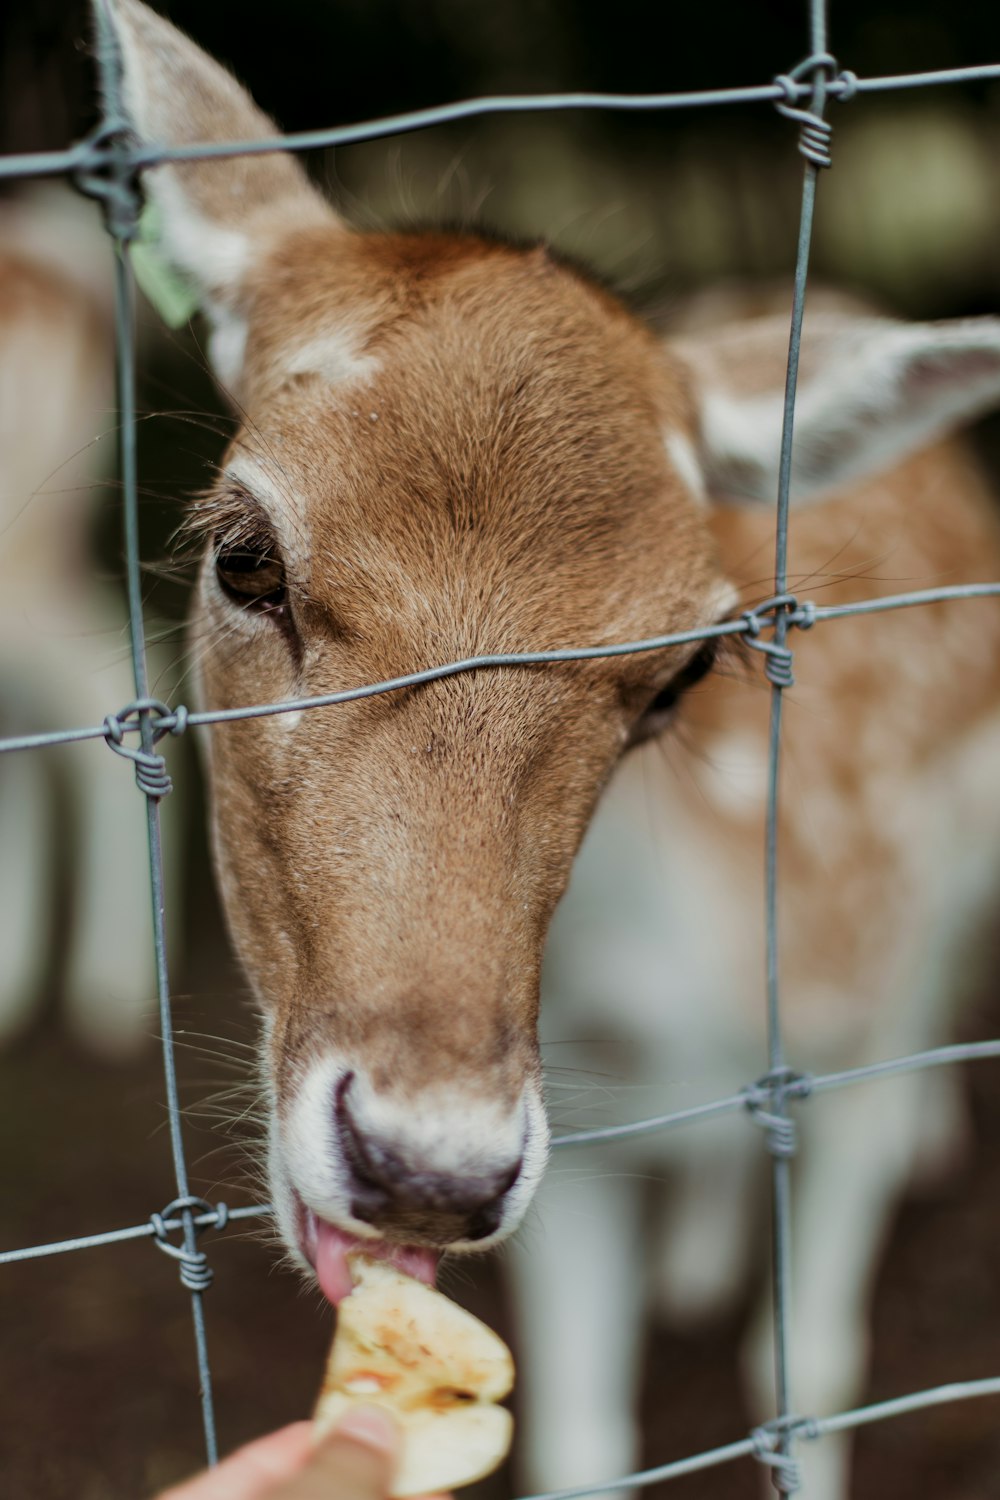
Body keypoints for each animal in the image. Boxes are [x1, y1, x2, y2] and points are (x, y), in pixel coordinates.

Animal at [97, 5, 1000, 1494]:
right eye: (246, 557)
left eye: (680, 670)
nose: (428, 1167)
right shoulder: (576, 1127)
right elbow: (581, 1431)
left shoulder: (858, 1015)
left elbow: (809, 1370)